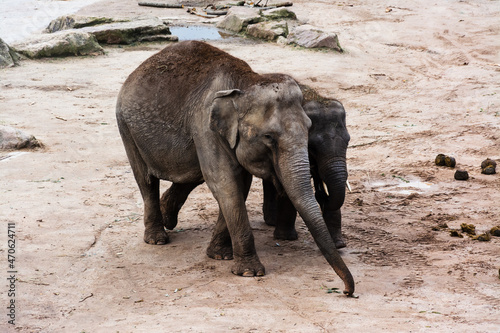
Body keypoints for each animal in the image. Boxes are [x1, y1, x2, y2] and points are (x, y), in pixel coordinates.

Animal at [116, 40, 356, 294]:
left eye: (308, 130)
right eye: (269, 137)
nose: (346, 291)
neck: (246, 82)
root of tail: (140, 68)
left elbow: (238, 183)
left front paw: (220, 255)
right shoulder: (205, 126)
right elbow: (224, 182)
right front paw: (250, 272)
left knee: (190, 175)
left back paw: (167, 220)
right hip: (126, 127)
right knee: (146, 179)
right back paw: (157, 238)